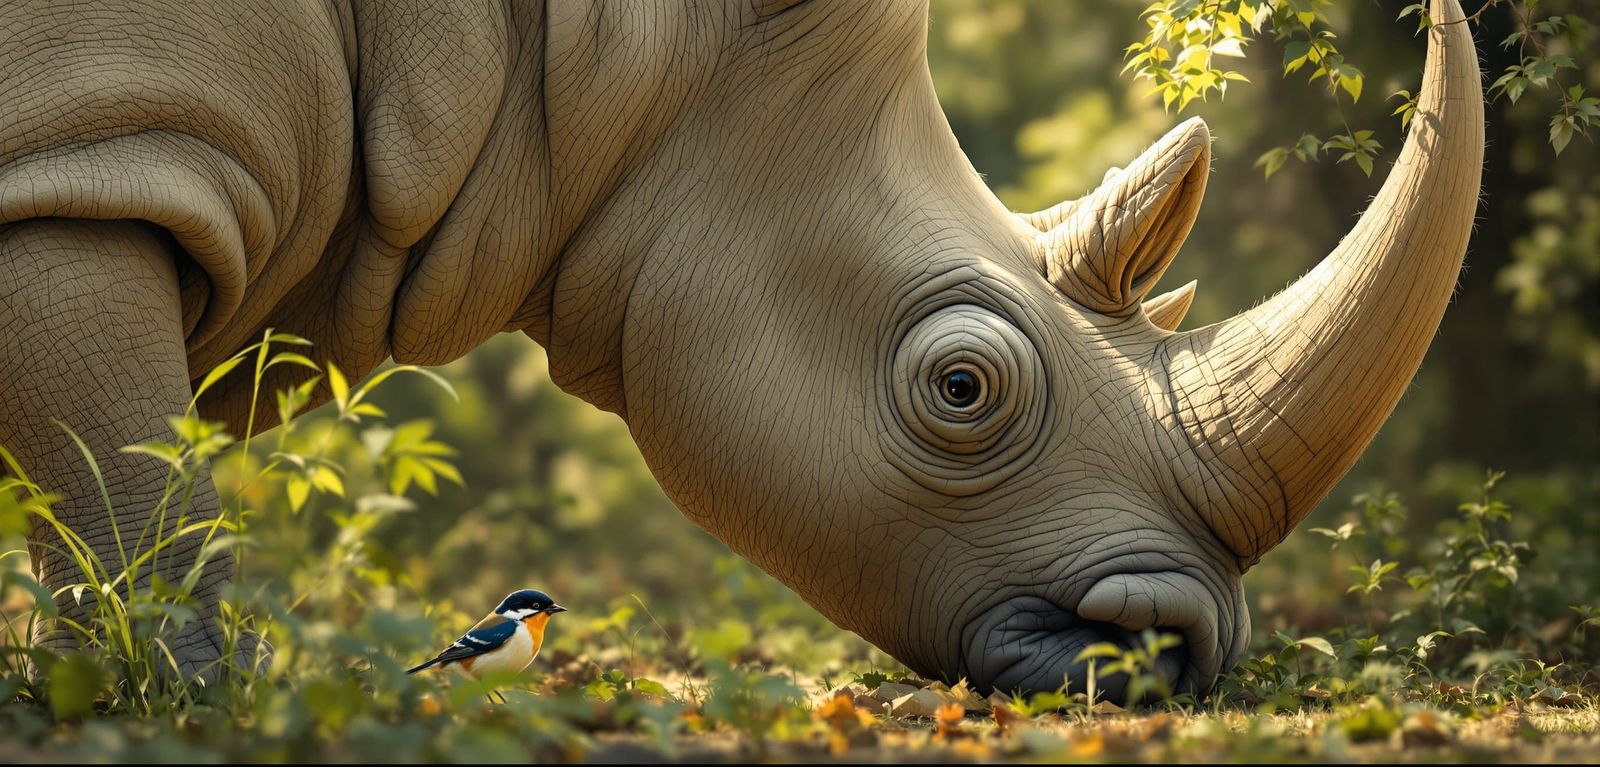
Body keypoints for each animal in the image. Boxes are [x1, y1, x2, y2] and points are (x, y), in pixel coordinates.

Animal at [0, 0, 1481, 699]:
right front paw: (200, 706)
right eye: (960, 387)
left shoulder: (101, 153)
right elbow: (145, 501)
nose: (1177, 652)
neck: (601, 53)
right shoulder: (87, 163)